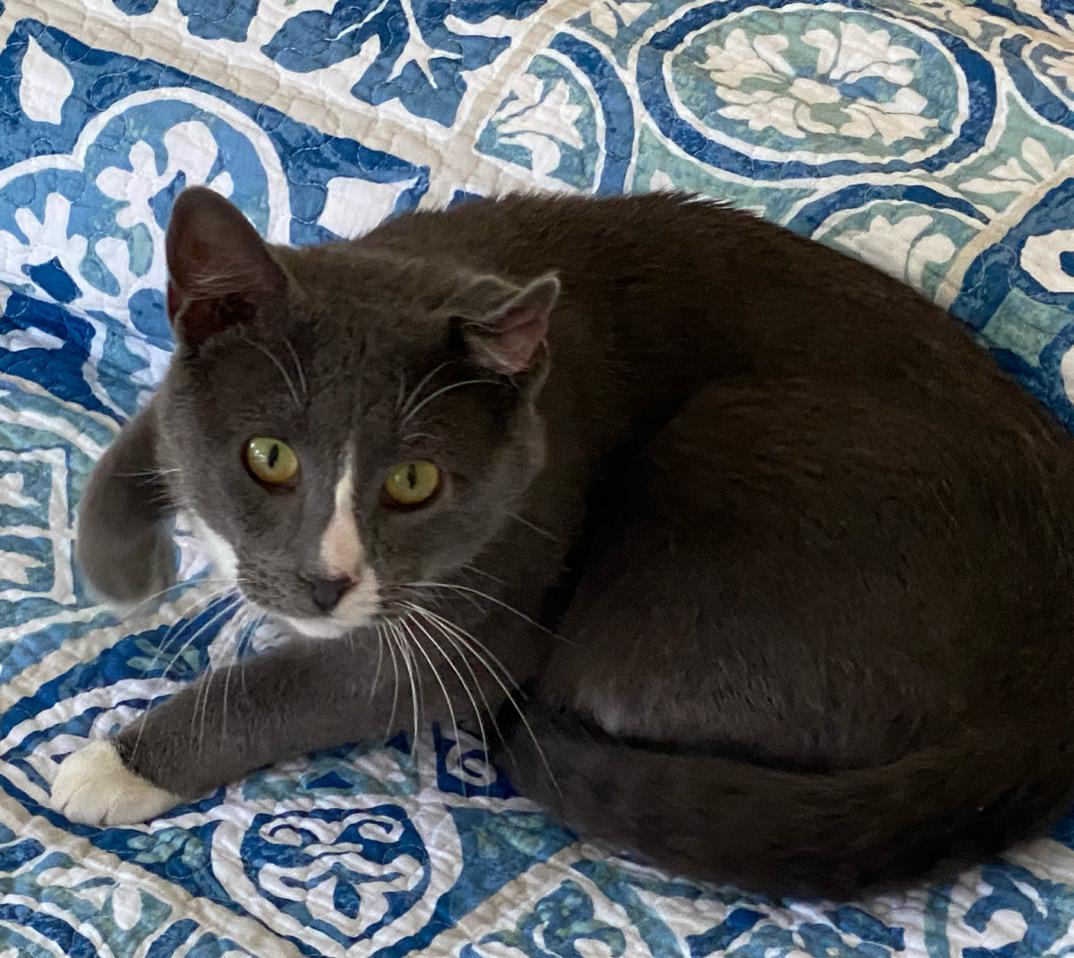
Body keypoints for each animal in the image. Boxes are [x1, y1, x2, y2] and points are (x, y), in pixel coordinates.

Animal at [54, 185, 1074, 896]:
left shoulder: (486, 594)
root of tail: (1042, 693)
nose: (324, 582)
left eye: (415, 482)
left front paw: (117, 765)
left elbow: (289, 688)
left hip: (719, 465)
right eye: (267, 456)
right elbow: (148, 428)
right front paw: (121, 558)